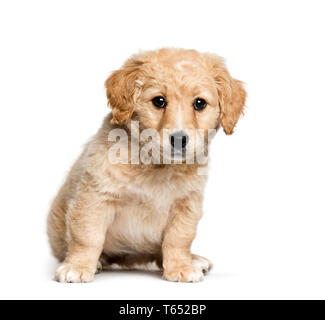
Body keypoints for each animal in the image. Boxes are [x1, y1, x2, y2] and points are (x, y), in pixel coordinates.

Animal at [47, 47, 246, 282]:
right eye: (159, 101)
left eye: (200, 104)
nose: (179, 139)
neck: (156, 165)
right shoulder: (95, 197)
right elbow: (88, 237)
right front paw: (78, 266)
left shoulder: (187, 204)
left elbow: (178, 239)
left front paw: (181, 267)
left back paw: (194, 259)